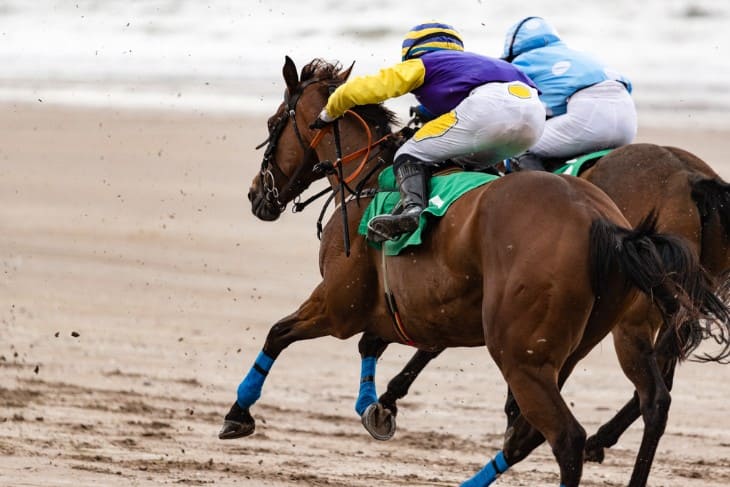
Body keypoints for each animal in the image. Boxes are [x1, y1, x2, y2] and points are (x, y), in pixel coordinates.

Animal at [218, 57, 728, 487]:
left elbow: (280, 333)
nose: (256, 195)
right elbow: (377, 345)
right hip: (571, 346)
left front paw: (238, 413)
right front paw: (376, 405)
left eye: (273, 124)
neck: (367, 178)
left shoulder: (339, 304)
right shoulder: (421, 308)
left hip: (532, 350)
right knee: (599, 416)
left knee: (574, 434)